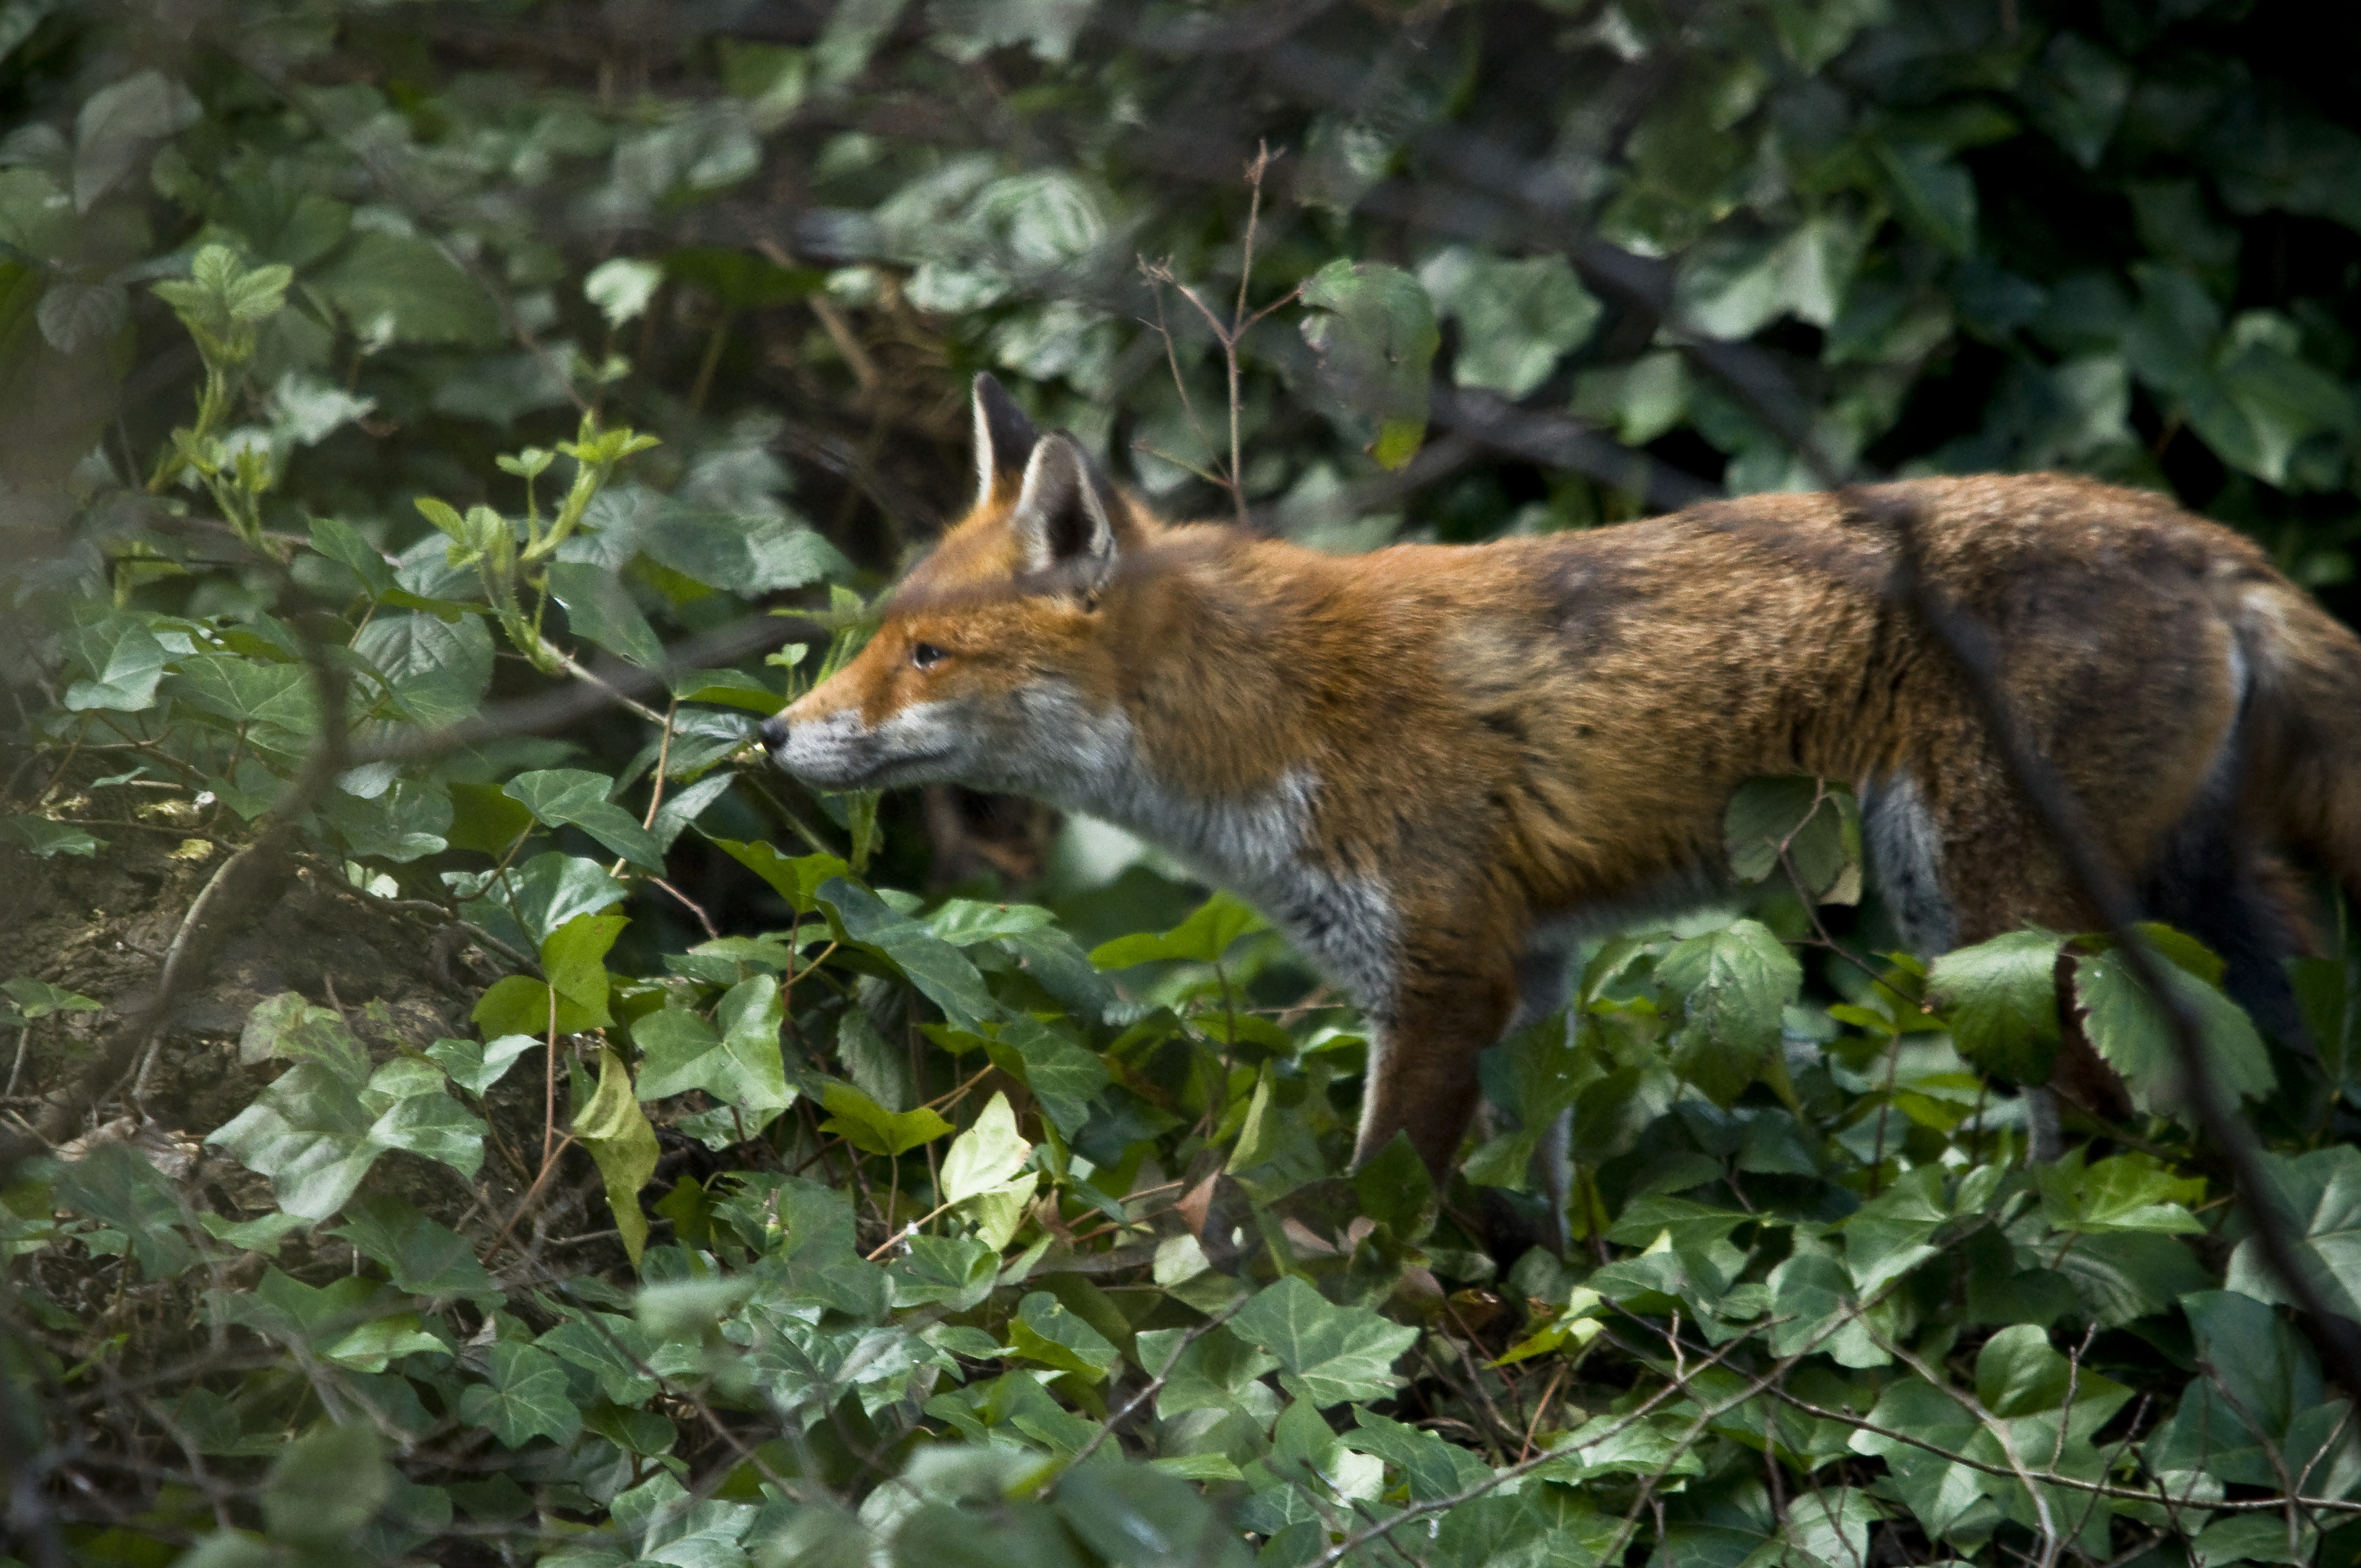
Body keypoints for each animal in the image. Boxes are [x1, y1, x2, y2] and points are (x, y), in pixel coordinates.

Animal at [763, 372, 2361, 1187]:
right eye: (874, 634)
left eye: (926, 654)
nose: (769, 738)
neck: (1267, 713)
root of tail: (2196, 538)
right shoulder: (1524, 974)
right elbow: (1529, 1208)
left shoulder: (1439, 972)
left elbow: (1369, 1210)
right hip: (2182, 893)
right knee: (2278, 1045)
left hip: (1987, 917)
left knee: (2102, 1102)